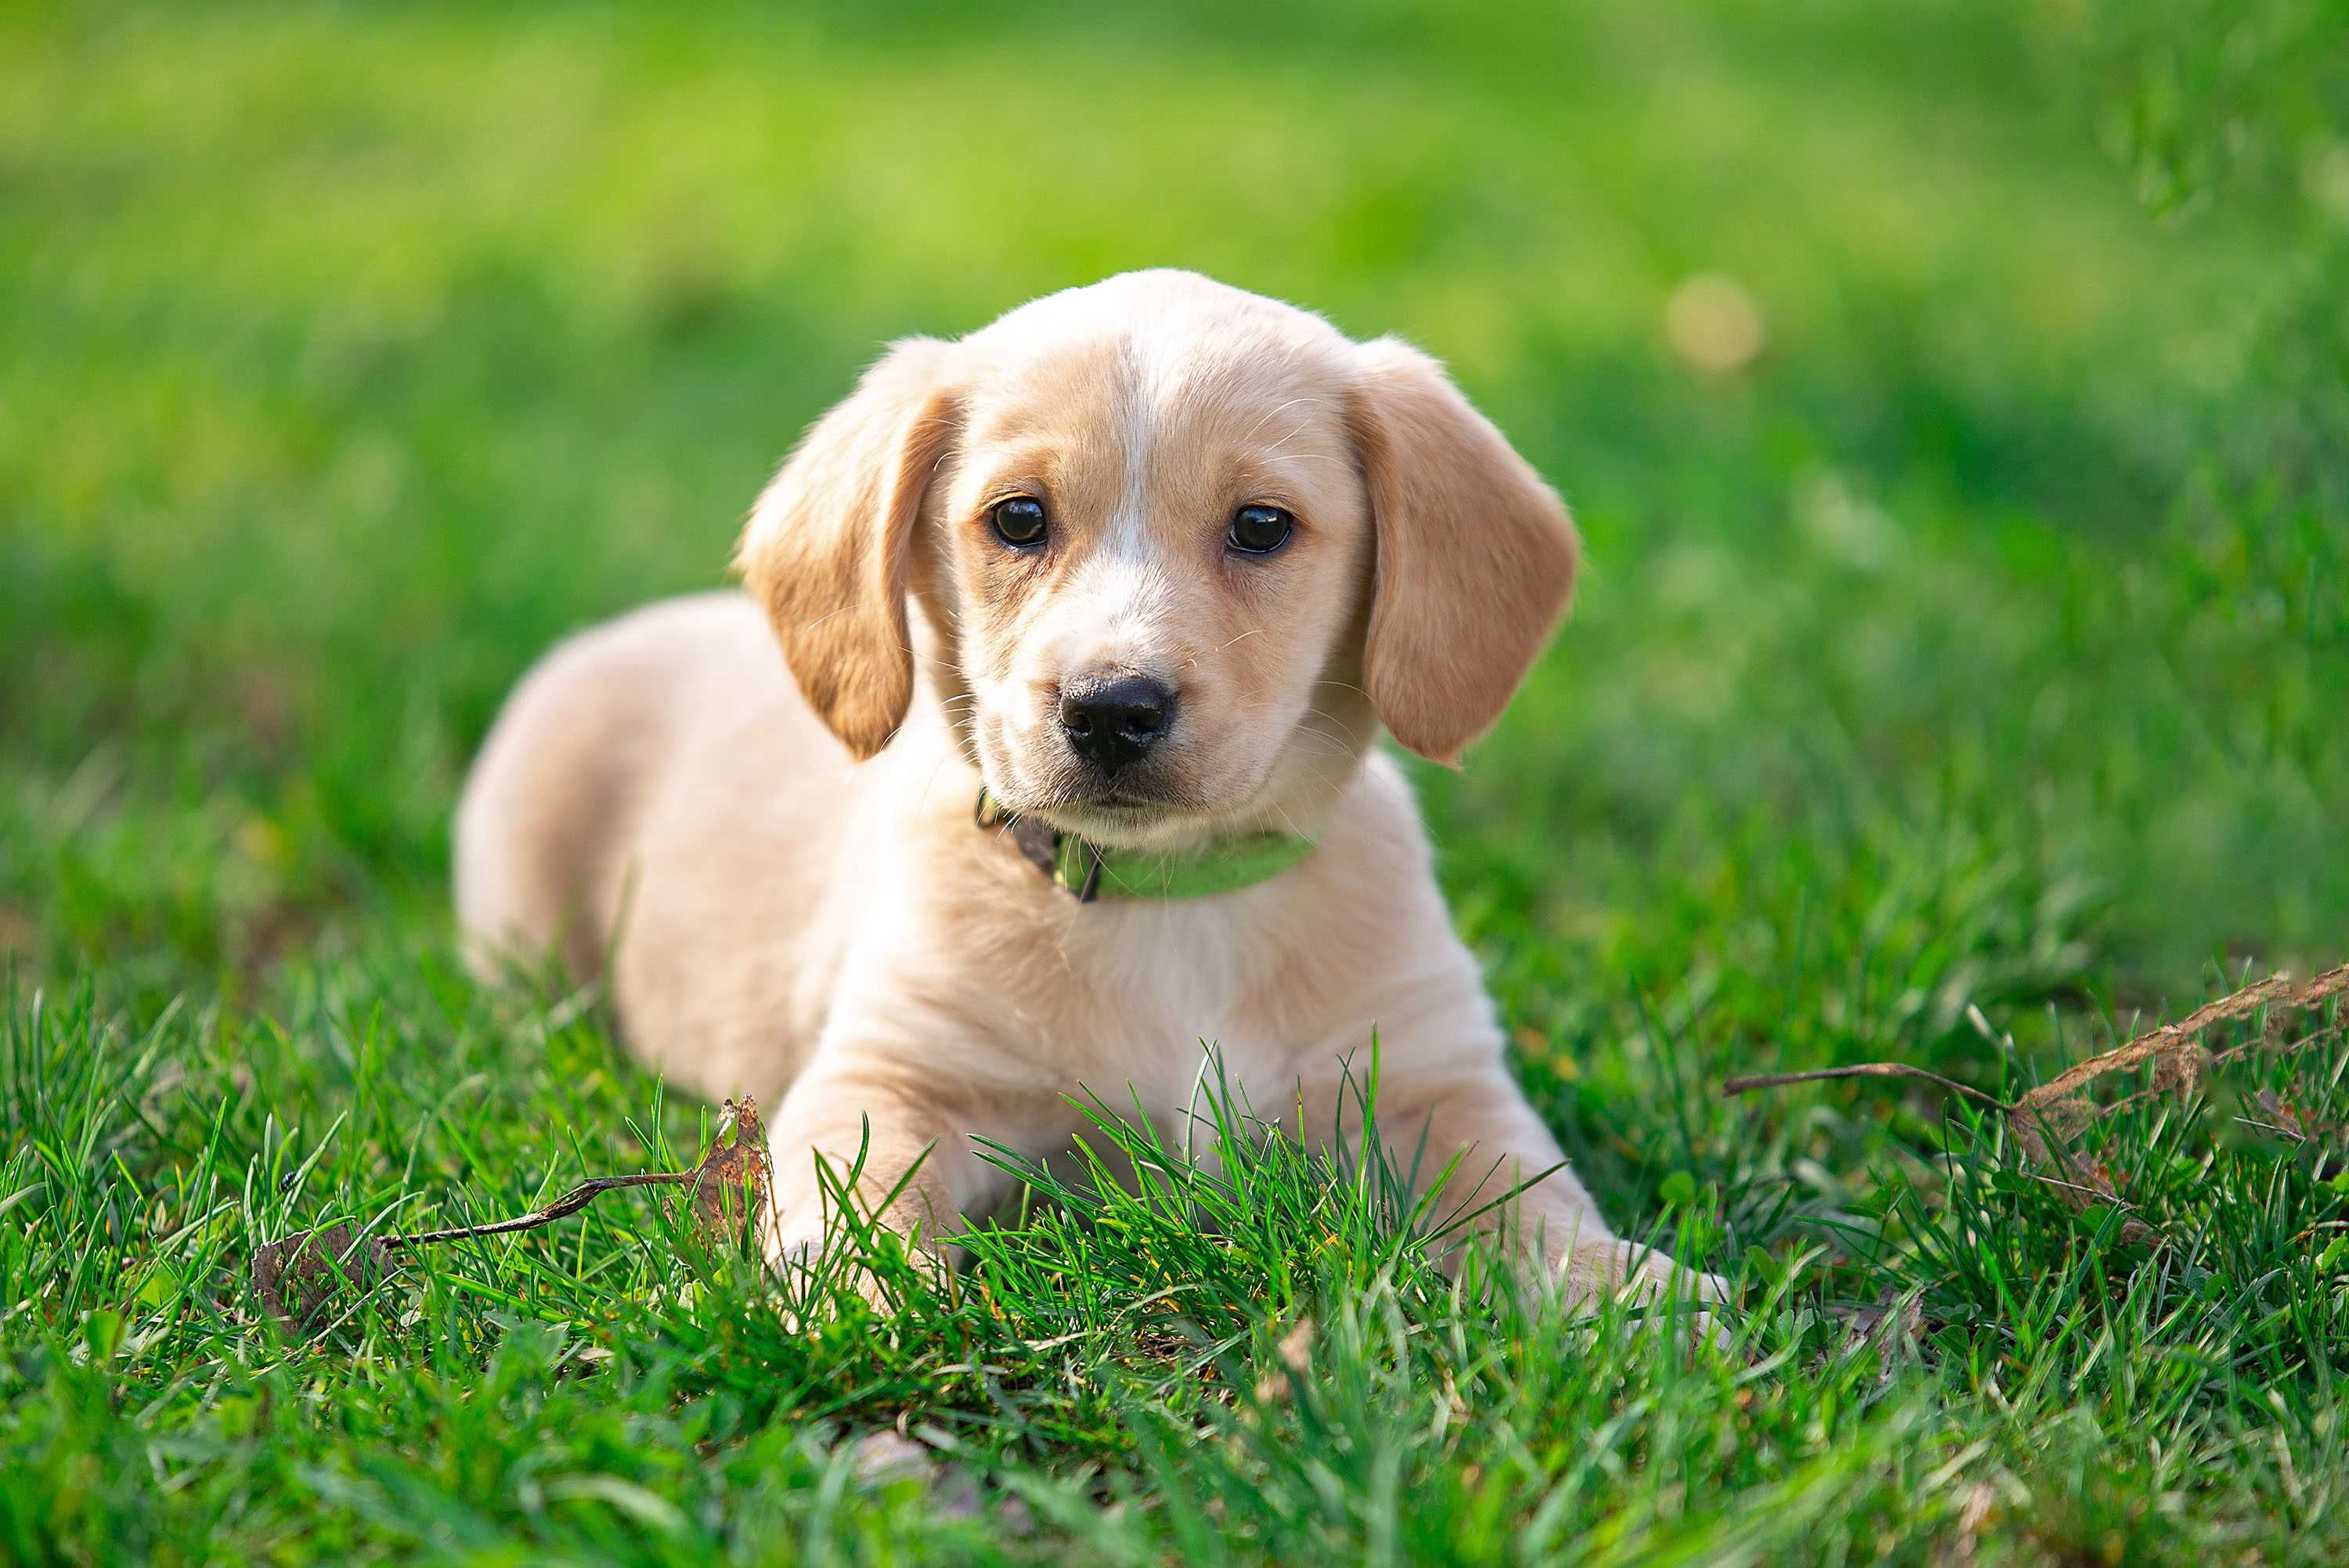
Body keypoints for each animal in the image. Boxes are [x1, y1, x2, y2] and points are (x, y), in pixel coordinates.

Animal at [449, 272, 1719, 1314]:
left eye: (1263, 527)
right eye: (1019, 517)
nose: (1112, 709)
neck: (1176, 900)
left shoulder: (1428, 1074)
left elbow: (1527, 1191)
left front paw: (1618, 1285)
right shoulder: (888, 1072)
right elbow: (858, 1191)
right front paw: (862, 1288)